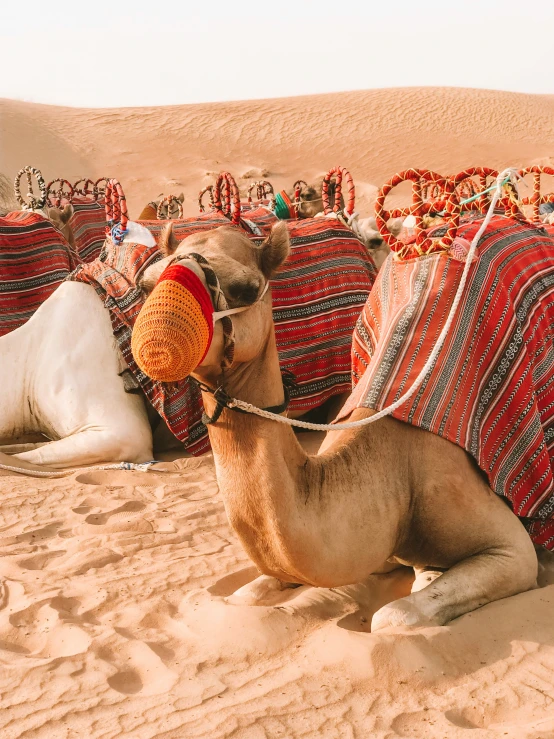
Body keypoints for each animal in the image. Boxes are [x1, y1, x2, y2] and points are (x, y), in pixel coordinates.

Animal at [132, 220, 540, 632]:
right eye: (146, 285)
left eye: (244, 288)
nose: (158, 338)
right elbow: (244, 596)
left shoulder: (508, 547)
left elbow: (392, 616)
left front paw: (425, 577)